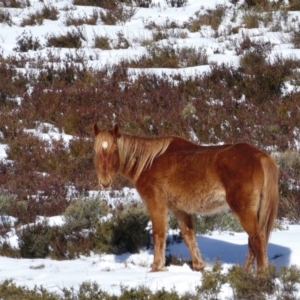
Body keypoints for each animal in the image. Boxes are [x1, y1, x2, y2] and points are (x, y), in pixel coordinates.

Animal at [93, 123, 278, 274]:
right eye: (95, 151)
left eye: (115, 151)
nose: (104, 182)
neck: (149, 162)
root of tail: (260, 155)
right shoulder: (180, 210)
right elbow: (189, 237)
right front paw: (198, 266)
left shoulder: (156, 205)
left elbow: (158, 235)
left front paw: (157, 267)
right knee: (253, 241)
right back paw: (245, 272)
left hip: (244, 210)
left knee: (257, 238)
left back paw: (260, 275)